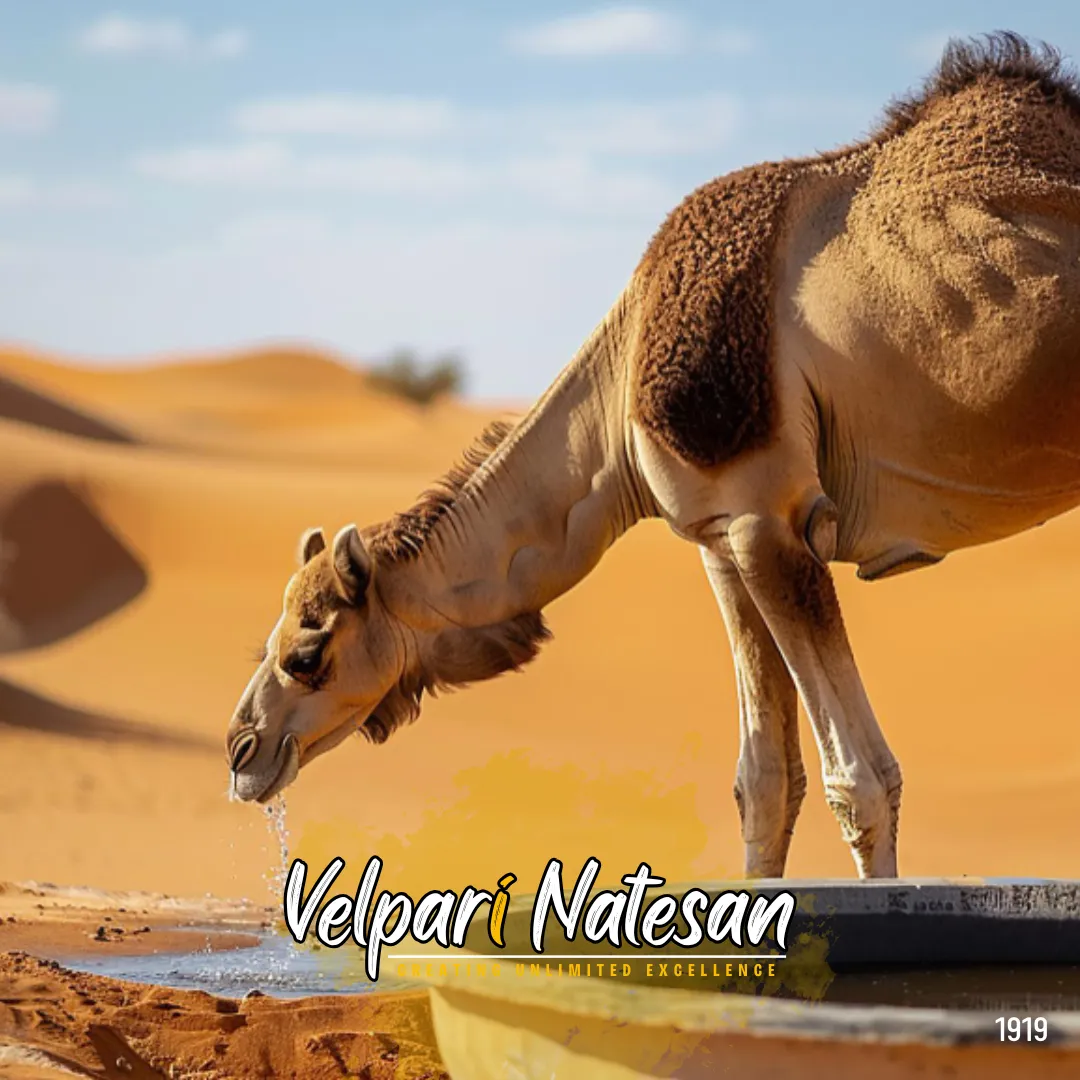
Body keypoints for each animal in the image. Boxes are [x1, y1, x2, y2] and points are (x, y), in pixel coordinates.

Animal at [227, 34, 1080, 879]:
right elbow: (767, 783)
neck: (618, 394)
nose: (242, 750)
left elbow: (860, 780)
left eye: (309, 651)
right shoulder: (725, 538)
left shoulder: (767, 513)